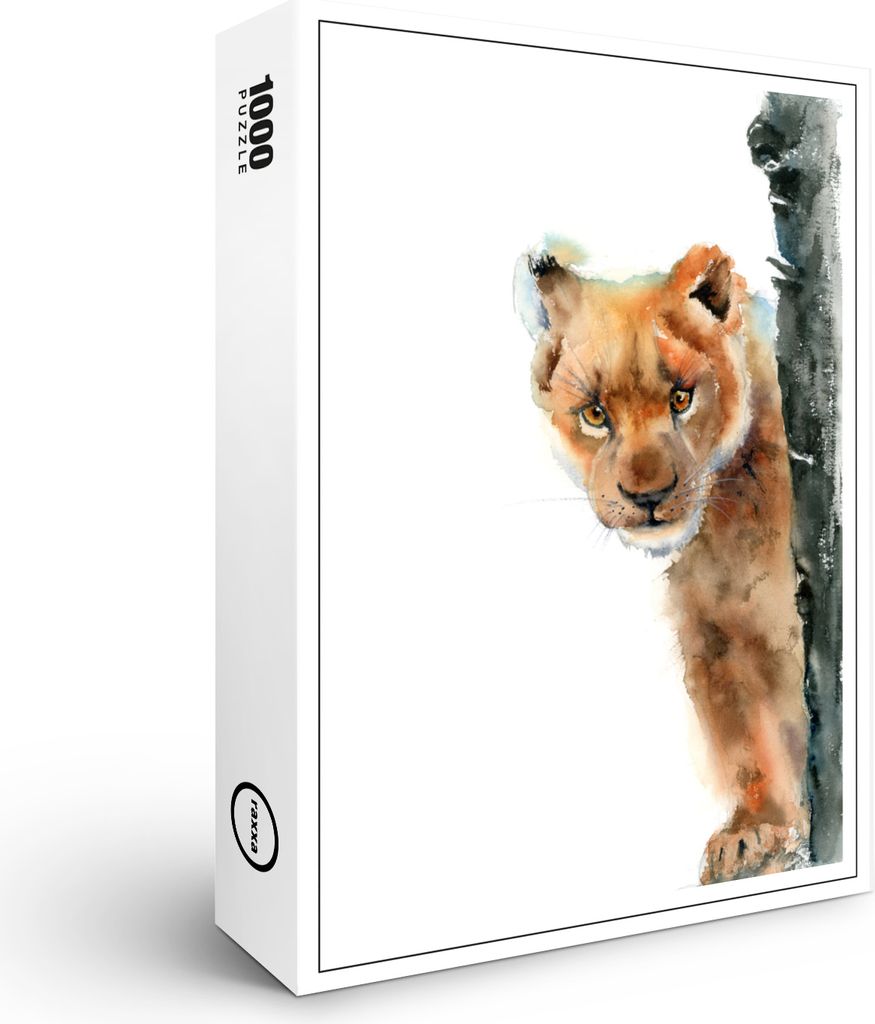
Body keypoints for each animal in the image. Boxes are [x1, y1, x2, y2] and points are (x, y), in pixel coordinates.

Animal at [514, 242, 811, 884]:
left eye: (681, 398)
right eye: (595, 414)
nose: (647, 496)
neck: (729, 528)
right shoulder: (715, 636)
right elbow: (747, 741)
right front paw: (753, 832)